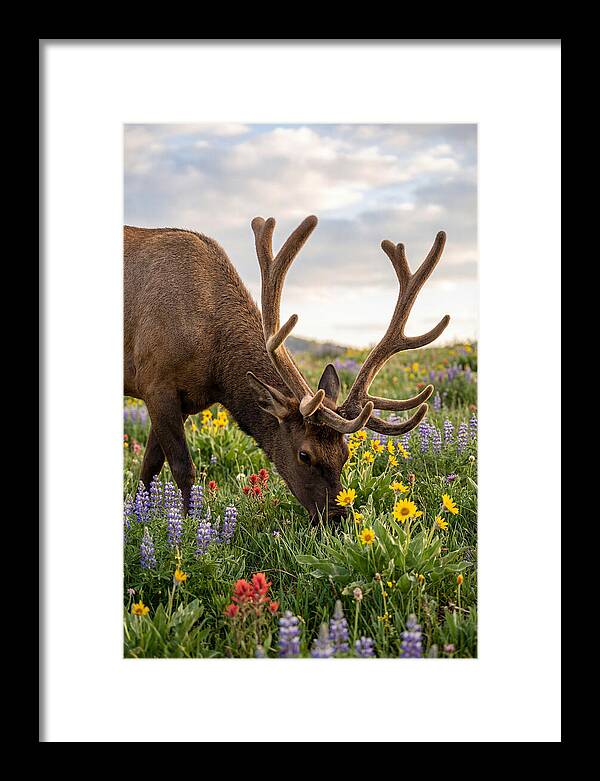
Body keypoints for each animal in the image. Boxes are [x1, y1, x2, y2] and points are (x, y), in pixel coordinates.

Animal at [124, 215, 450, 522]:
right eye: (304, 455)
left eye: (345, 453)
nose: (336, 518)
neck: (216, 367)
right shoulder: (156, 382)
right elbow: (181, 468)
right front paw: (186, 525)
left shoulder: (184, 400)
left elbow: (149, 467)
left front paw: (141, 515)